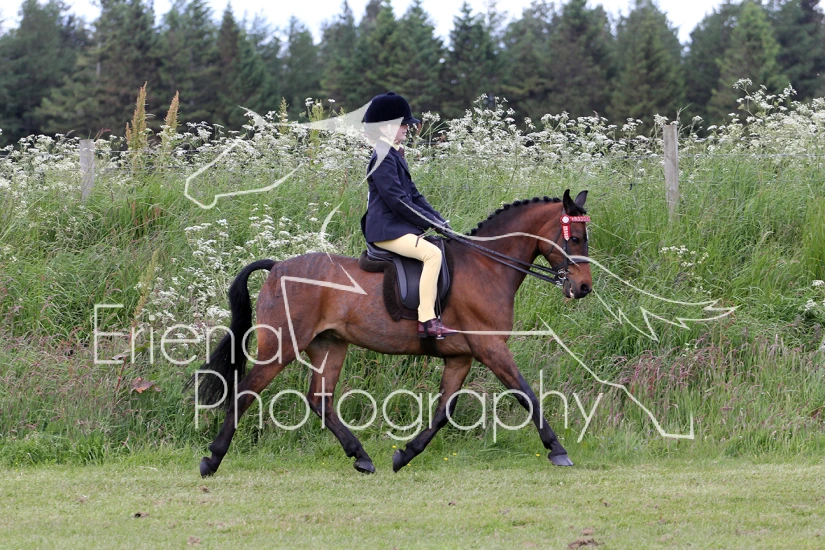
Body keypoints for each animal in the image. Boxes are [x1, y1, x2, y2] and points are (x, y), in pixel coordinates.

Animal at [194, 189, 592, 476]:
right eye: (574, 239)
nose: (584, 288)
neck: (487, 265)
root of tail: (277, 266)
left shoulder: (461, 356)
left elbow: (444, 411)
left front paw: (405, 455)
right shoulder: (490, 348)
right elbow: (527, 394)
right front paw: (558, 450)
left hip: (329, 346)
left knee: (320, 400)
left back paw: (361, 457)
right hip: (282, 345)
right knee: (246, 392)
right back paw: (211, 460)